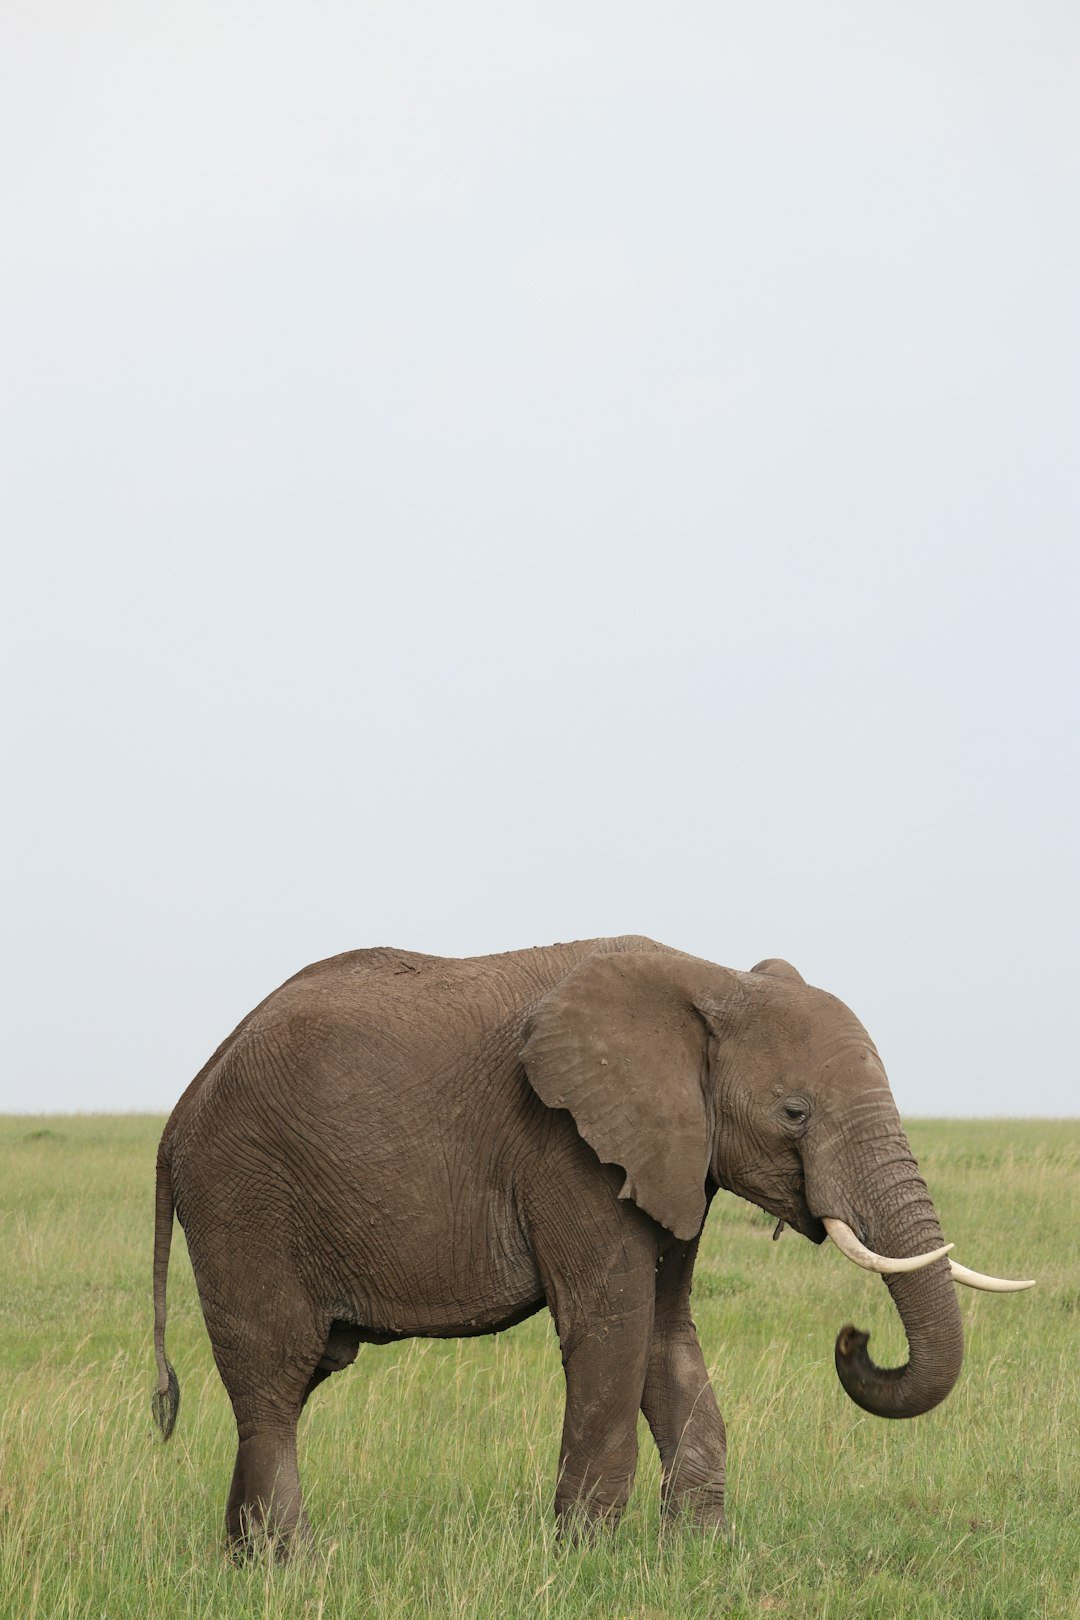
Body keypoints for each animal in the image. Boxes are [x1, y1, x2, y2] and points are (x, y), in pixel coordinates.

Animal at [151, 935, 1032, 1555]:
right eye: (795, 1112)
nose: (855, 1338)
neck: (709, 980)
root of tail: (179, 1109)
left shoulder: (673, 1155)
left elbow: (667, 1335)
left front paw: (700, 1558)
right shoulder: (567, 1149)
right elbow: (612, 1326)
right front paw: (586, 1563)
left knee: (292, 1383)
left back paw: (249, 1562)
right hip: (242, 1200)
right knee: (274, 1376)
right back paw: (291, 1567)